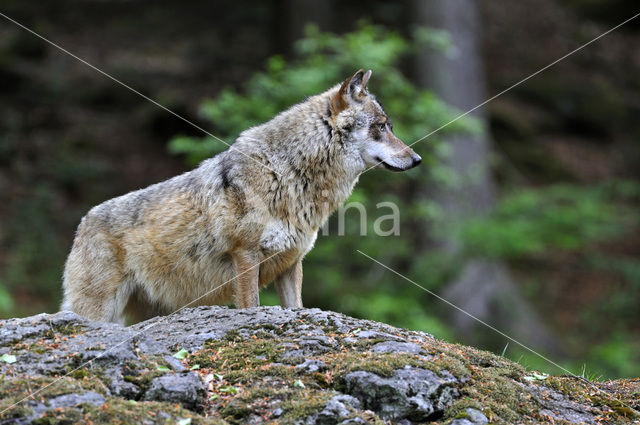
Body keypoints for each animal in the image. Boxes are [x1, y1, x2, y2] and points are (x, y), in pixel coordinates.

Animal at [60, 69, 420, 322]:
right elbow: (251, 308)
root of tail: (83, 221)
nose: (416, 159)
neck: (287, 174)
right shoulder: (245, 256)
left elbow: (297, 308)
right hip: (99, 309)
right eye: (382, 126)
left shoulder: (292, 263)